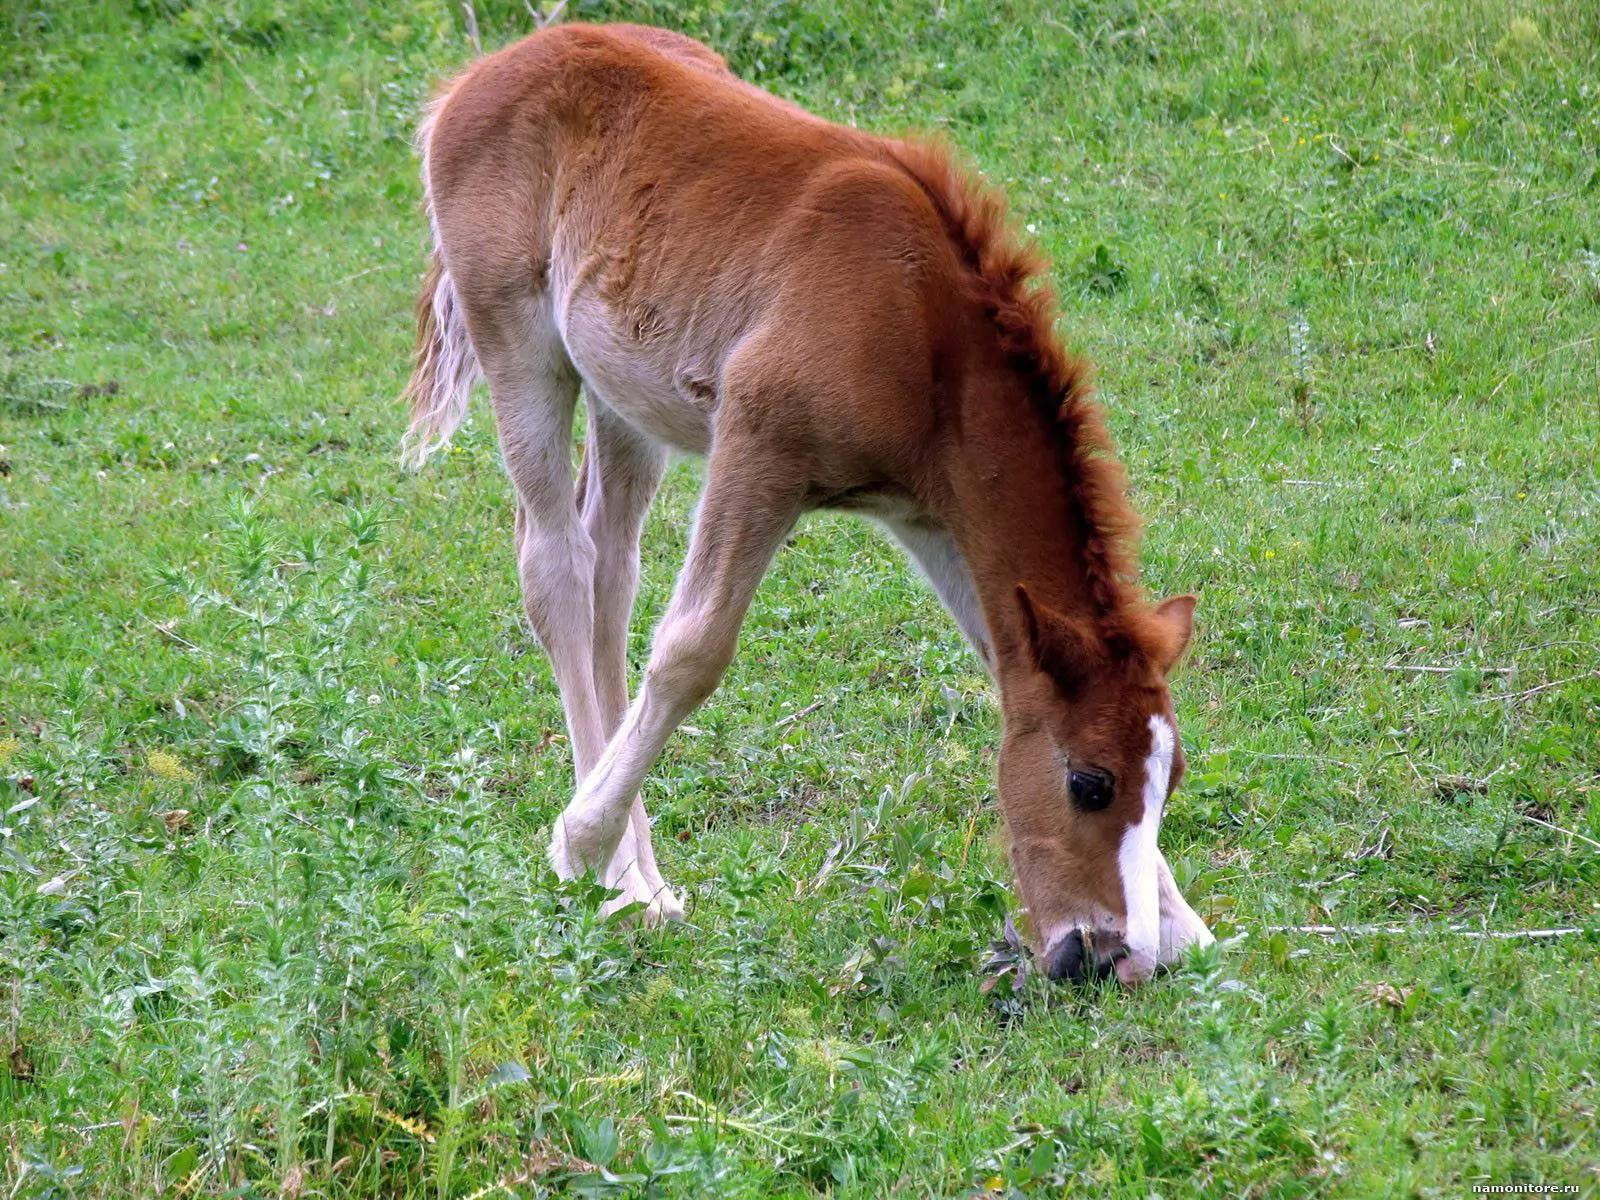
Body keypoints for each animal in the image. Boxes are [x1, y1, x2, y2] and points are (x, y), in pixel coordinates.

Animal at [403, 23, 1209, 985]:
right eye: (1088, 782)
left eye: (1169, 780)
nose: (1105, 957)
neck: (923, 328)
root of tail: (474, 80)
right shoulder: (761, 446)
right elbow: (690, 654)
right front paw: (578, 842)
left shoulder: (928, 514)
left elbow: (1002, 660)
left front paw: (1183, 921)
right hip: (518, 343)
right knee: (556, 568)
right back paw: (620, 883)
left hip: (624, 394)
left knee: (609, 576)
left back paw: (644, 882)